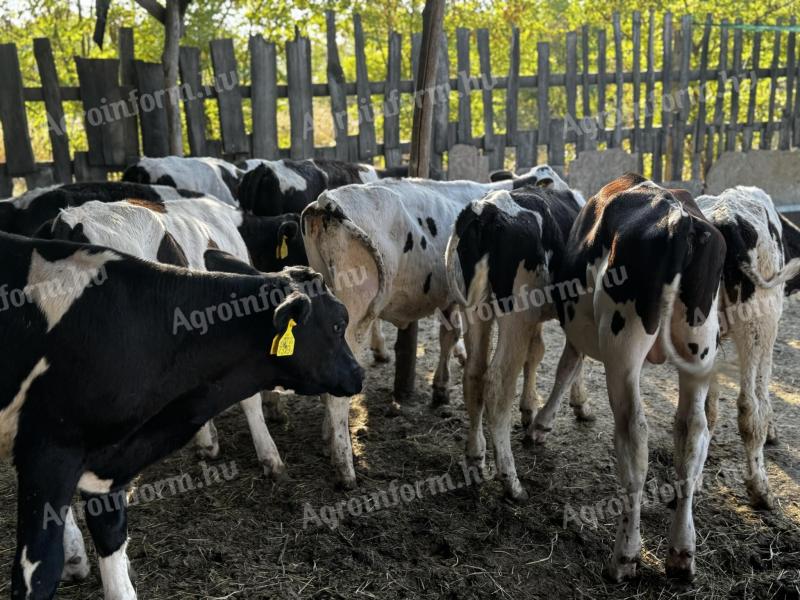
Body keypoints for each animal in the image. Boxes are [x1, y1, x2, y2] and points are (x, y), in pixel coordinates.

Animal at [0, 233, 362, 600]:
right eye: (338, 324)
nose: (358, 374)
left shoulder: (111, 462)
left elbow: (112, 543)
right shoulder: (49, 453)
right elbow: (40, 572)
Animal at [444, 186, 588, 502]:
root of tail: (486, 209)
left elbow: (536, 355)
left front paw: (529, 408)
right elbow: (569, 364)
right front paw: (555, 416)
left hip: (478, 311)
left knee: (473, 375)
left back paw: (475, 455)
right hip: (516, 315)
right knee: (497, 384)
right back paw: (511, 481)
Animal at [528, 175, 728, 580]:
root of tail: (680, 221)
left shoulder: (578, 328)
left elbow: (566, 368)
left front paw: (542, 424)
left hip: (622, 349)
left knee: (634, 434)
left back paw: (625, 555)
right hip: (699, 348)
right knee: (692, 432)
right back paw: (681, 552)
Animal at [692, 188, 800, 510]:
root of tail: (723, 219)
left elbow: (711, 406)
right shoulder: (768, 329)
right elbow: (762, 393)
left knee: (697, 412)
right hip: (755, 326)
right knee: (748, 407)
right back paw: (760, 490)